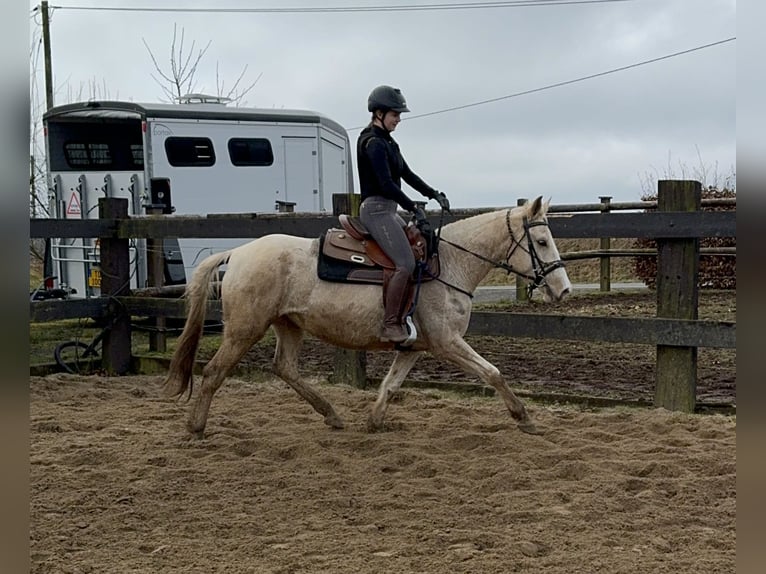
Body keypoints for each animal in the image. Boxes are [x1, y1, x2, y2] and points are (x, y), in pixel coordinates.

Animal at [165, 196, 572, 438]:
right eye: (540, 242)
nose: (563, 289)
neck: (449, 262)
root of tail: (238, 252)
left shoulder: (414, 348)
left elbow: (390, 385)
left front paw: (374, 421)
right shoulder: (447, 343)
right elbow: (493, 373)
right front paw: (524, 417)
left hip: (288, 325)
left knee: (285, 369)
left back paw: (332, 414)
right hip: (244, 329)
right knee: (213, 372)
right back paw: (196, 428)